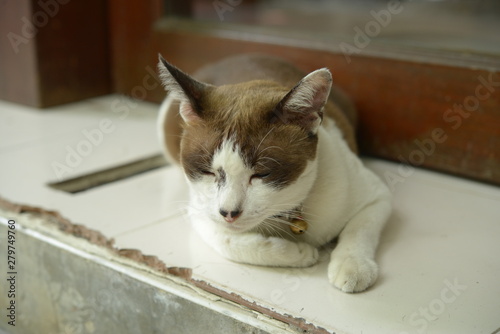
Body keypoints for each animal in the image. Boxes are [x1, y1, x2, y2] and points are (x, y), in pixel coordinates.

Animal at [158, 54, 392, 292]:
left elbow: (359, 229)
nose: (229, 213)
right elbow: (228, 242)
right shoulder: (200, 212)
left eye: (262, 174)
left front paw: (352, 265)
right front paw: (298, 253)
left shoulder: (377, 197)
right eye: (207, 172)